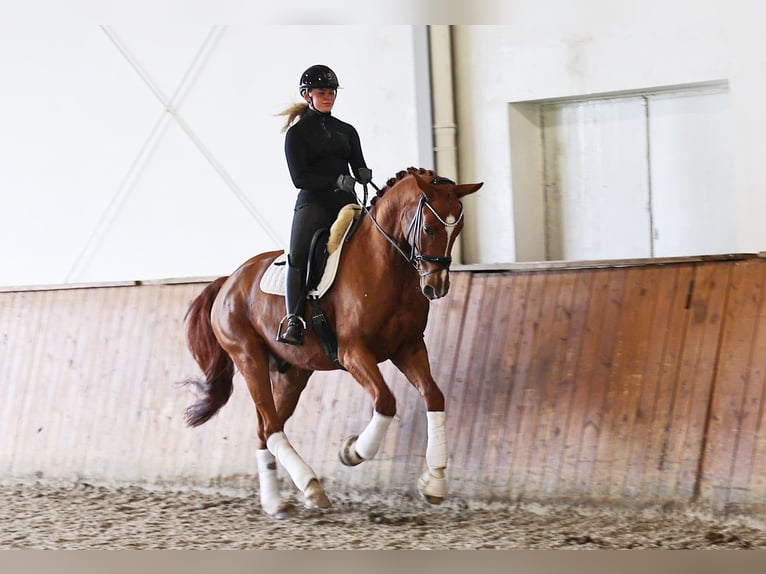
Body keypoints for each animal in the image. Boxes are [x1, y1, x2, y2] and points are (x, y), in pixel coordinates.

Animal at [182, 165, 480, 516]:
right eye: (430, 228)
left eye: (458, 229)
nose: (437, 287)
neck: (384, 264)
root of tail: (229, 280)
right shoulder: (353, 353)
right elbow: (385, 401)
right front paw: (352, 452)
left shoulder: (407, 348)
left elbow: (434, 396)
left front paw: (434, 481)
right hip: (248, 358)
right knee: (270, 426)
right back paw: (309, 485)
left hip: (294, 372)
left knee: (265, 428)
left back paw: (277, 501)